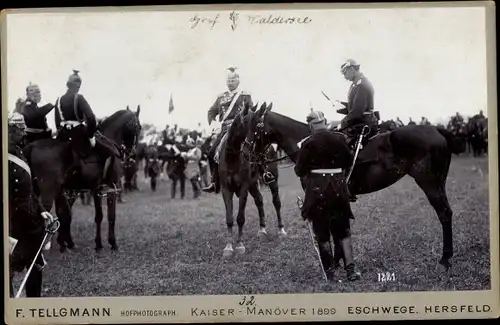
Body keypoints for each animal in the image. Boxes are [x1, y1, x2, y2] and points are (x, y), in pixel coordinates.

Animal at [23, 106, 141, 251]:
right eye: (139, 127)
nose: (132, 155)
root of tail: (31, 146)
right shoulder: (112, 189)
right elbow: (111, 217)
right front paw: (113, 243)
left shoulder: (97, 190)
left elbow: (98, 217)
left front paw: (98, 244)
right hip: (48, 192)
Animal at [218, 104, 286, 258]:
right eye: (248, 122)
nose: (254, 152)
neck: (232, 157)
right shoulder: (226, 189)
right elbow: (229, 218)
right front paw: (228, 247)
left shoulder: (243, 187)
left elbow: (240, 218)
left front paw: (240, 245)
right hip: (253, 185)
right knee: (259, 201)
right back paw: (262, 230)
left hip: (271, 179)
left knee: (276, 202)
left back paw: (281, 230)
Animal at [241, 102, 464, 270]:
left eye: (254, 126)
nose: (245, 153)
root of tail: (435, 128)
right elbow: (338, 228)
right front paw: (340, 260)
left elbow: (332, 230)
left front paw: (334, 262)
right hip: (439, 182)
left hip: (429, 183)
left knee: (444, 213)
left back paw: (445, 258)